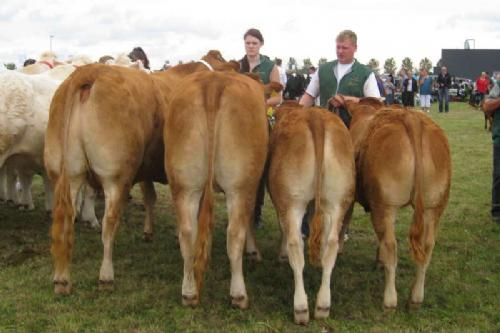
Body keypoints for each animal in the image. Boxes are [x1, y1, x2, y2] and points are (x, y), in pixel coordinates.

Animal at [47, 50, 232, 294]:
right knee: (109, 222)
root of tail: (89, 72)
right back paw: (106, 276)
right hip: (115, 177)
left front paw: (148, 232)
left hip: (68, 175)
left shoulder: (147, 168)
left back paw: (61, 279)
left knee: (66, 217)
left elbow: (150, 197)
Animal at [164, 70, 272, 308]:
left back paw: (189, 292)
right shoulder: (253, 186)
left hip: (184, 184)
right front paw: (253, 251)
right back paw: (239, 294)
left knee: (187, 232)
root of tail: (213, 81)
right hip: (240, 186)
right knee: (234, 234)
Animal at [266, 102, 356, 324]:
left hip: (292, 202)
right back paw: (323, 305)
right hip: (337, 201)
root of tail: (315, 117)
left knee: (295, 245)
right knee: (331, 243)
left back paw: (301, 308)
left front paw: (281, 254)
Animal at [346, 98, 452, 308]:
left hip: (385, 206)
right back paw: (416, 298)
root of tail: (412, 118)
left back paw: (389, 300)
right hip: (434, 206)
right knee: (427, 246)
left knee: (390, 246)